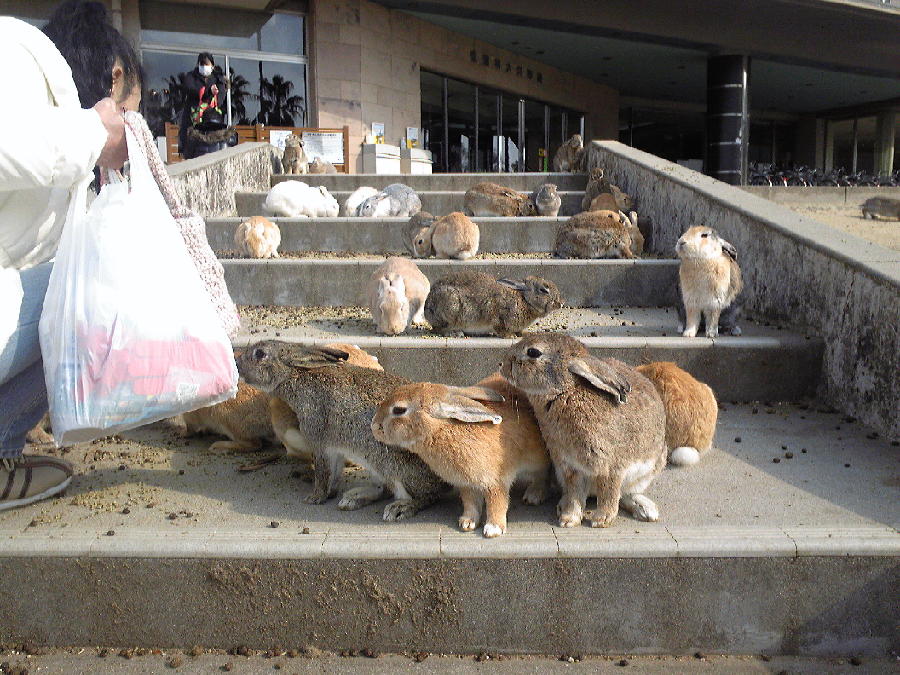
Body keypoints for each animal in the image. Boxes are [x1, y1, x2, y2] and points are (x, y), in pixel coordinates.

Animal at [370, 372, 548, 536]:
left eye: (399, 410)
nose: (374, 426)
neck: (441, 430)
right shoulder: (466, 484)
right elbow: (470, 503)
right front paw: (467, 523)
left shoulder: (496, 480)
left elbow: (496, 502)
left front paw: (493, 529)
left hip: (536, 459)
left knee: (542, 474)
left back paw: (532, 496)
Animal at [500, 336, 668, 532]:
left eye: (533, 352)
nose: (502, 364)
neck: (566, 392)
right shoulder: (570, 465)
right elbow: (575, 493)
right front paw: (569, 519)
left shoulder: (611, 466)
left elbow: (609, 493)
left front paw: (601, 520)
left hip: (649, 470)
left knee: (625, 494)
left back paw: (646, 510)